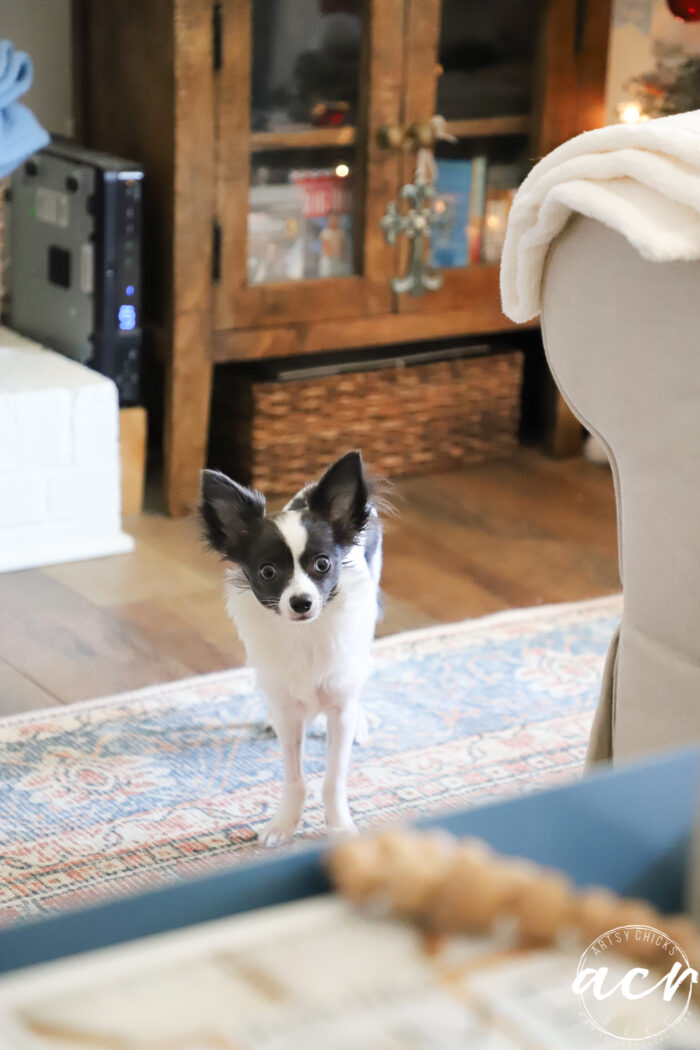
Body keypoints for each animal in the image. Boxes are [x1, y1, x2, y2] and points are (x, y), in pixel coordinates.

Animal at [197, 451, 384, 844]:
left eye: (323, 564)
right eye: (267, 572)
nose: (301, 602)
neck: (304, 634)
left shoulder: (339, 710)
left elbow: (333, 779)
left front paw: (339, 826)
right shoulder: (287, 710)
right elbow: (294, 777)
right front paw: (283, 825)